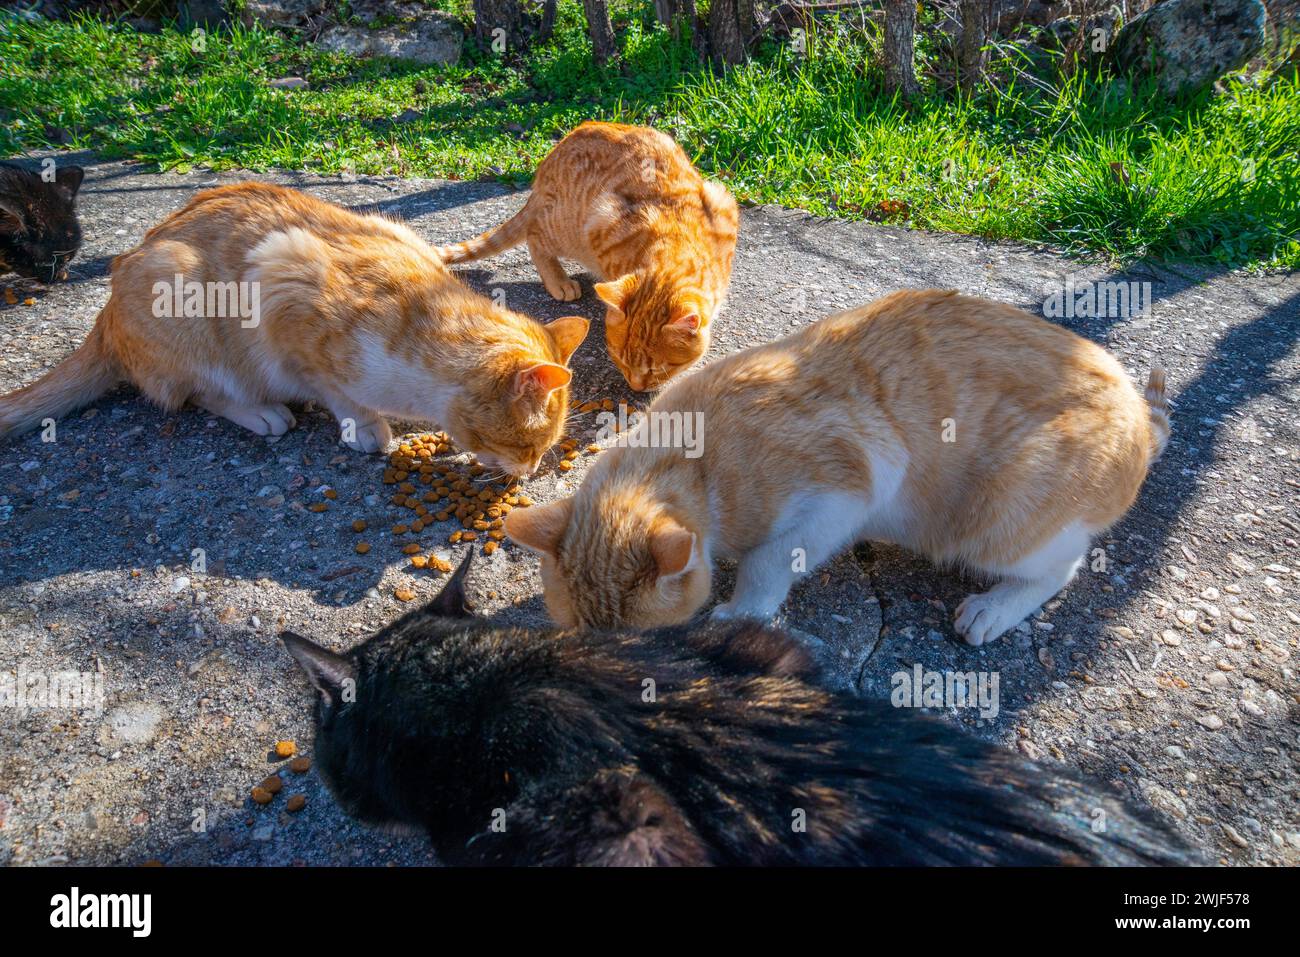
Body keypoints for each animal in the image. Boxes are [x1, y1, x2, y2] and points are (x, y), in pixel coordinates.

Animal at [0, 183, 590, 475]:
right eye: (530, 443)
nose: (531, 471)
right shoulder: (282, 284)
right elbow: (333, 388)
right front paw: (365, 425)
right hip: (177, 288)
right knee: (194, 393)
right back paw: (262, 412)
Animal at [436, 122, 738, 392]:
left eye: (656, 369)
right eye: (620, 359)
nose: (635, 387)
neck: (676, 246)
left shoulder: (724, 204)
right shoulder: (603, 221)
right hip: (567, 226)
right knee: (535, 236)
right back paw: (559, 280)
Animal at [504, 287, 1170, 647]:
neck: (692, 459)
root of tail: (1138, 407)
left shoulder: (850, 489)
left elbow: (769, 561)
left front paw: (740, 610)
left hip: (1000, 518)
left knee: (1063, 566)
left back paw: (995, 607)